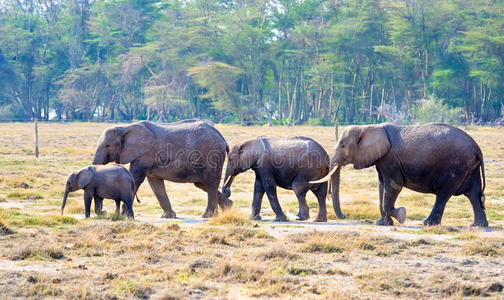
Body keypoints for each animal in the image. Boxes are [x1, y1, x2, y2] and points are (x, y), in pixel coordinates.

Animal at [91, 119, 231, 218]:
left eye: (107, 145)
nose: (104, 212)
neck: (125, 127)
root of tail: (222, 138)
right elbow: (155, 183)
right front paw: (167, 217)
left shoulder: (145, 155)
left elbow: (136, 179)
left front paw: (124, 216)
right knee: (202, 184)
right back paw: (228, 207)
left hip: (212, 156)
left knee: (210, 184)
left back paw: (208, 216)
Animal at [312, 123, 488, 226]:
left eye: (342, 145)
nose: (343, 217)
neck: (370, 126)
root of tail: (477, 148)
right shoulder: (381, 159)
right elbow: (382, 186)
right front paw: (382, 224)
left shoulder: (391, 159)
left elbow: (393, 186)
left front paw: (401, 215)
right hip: (469, 166)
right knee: (473, 193)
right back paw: (478, 226)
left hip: (455, 165)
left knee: (444, 194)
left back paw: (428, 223)